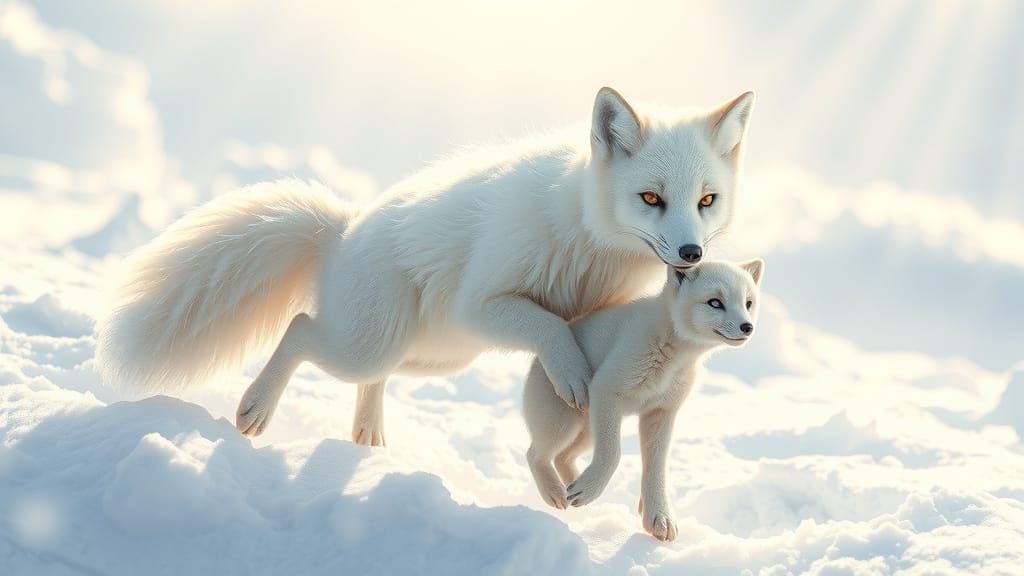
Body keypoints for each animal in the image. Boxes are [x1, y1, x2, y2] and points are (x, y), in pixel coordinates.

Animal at [95, 87, 755, 446]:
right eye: (650, 198)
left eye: (706, 200)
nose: (693, 254)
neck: (589, 239)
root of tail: (342, 231)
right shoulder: (483, 302)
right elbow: (548, 325)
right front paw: (570, 376)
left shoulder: (583, 310)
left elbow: (565, 327)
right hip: (379, 342)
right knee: (302, 329)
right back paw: (256, 409)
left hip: (432, 355)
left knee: (369, 374)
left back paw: (367, 436)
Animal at [523, 259, 764, 541]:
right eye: (715, 302)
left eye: (748, 303)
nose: (747, 327)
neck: (673, 357)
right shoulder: (607, 387)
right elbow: (613, 454)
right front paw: (591, 490)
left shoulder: (661, 411)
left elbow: (656, 466)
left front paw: (659, 517)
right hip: (566, 424)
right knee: (535, 454)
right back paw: (557, 493)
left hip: (589, 431)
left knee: (562, 457)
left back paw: (576, 486)